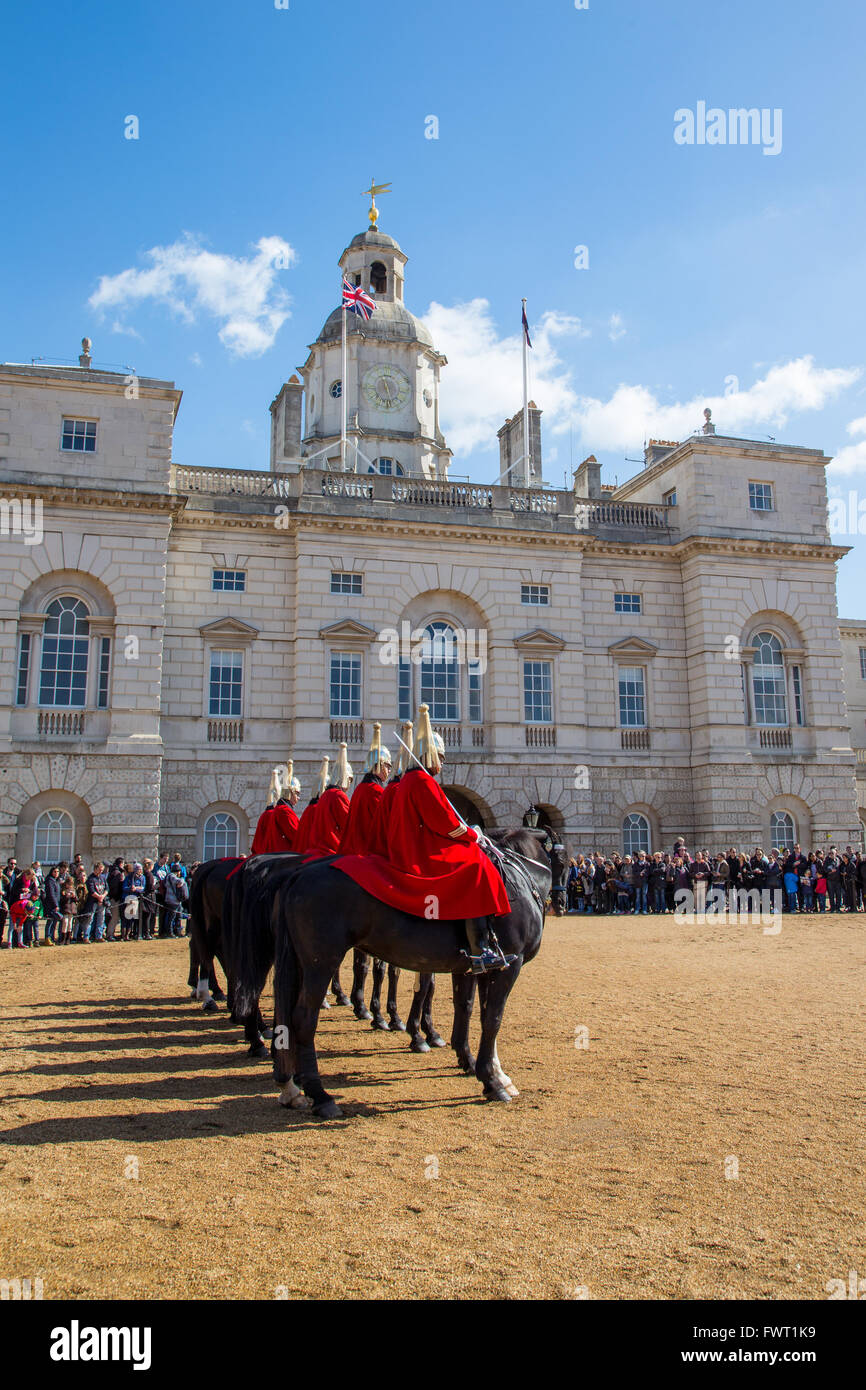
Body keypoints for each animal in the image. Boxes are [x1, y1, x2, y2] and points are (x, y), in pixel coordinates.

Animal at [252, 827, 551, 1118]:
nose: (559, 900)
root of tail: (297, 875)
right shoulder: (509, 964)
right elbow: (492, 1020)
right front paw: (492, 1081)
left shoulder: (477, 969)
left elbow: (470, 1010)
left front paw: (482, 1067)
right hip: (321, 961)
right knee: (303, 1018)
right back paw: (320, 1095)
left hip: (300, 962)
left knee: (286, 1013)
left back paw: (291, 1086)